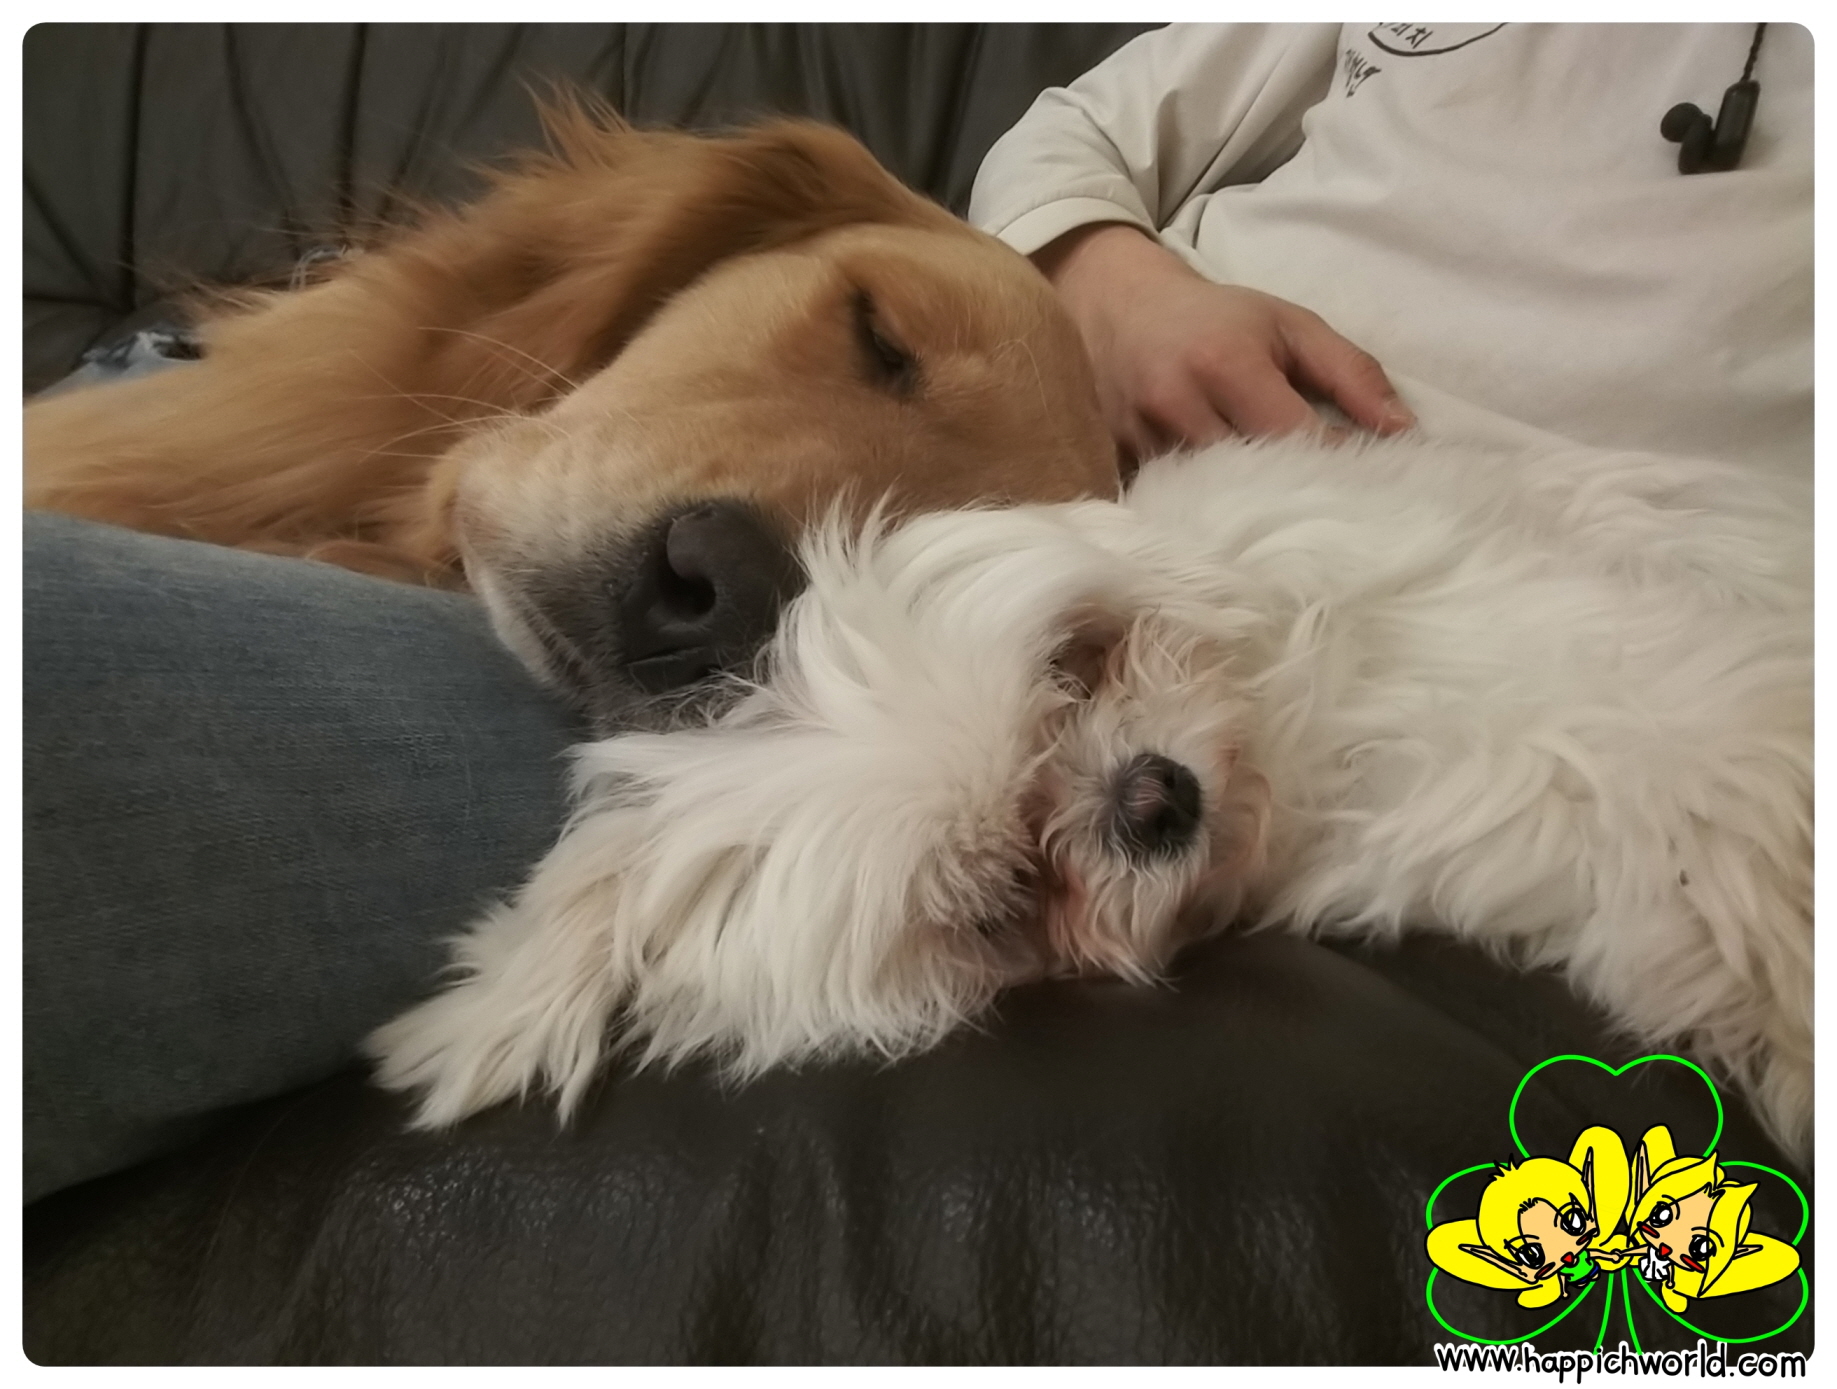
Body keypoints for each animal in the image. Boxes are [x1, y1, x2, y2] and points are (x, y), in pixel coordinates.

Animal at [369, 434, 1813, 1153]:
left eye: (1073, 668)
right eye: (1006, 900)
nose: (1155, 797)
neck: (1292, 737)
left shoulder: (1554, 669)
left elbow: (1720, 758)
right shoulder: (1512, 809)